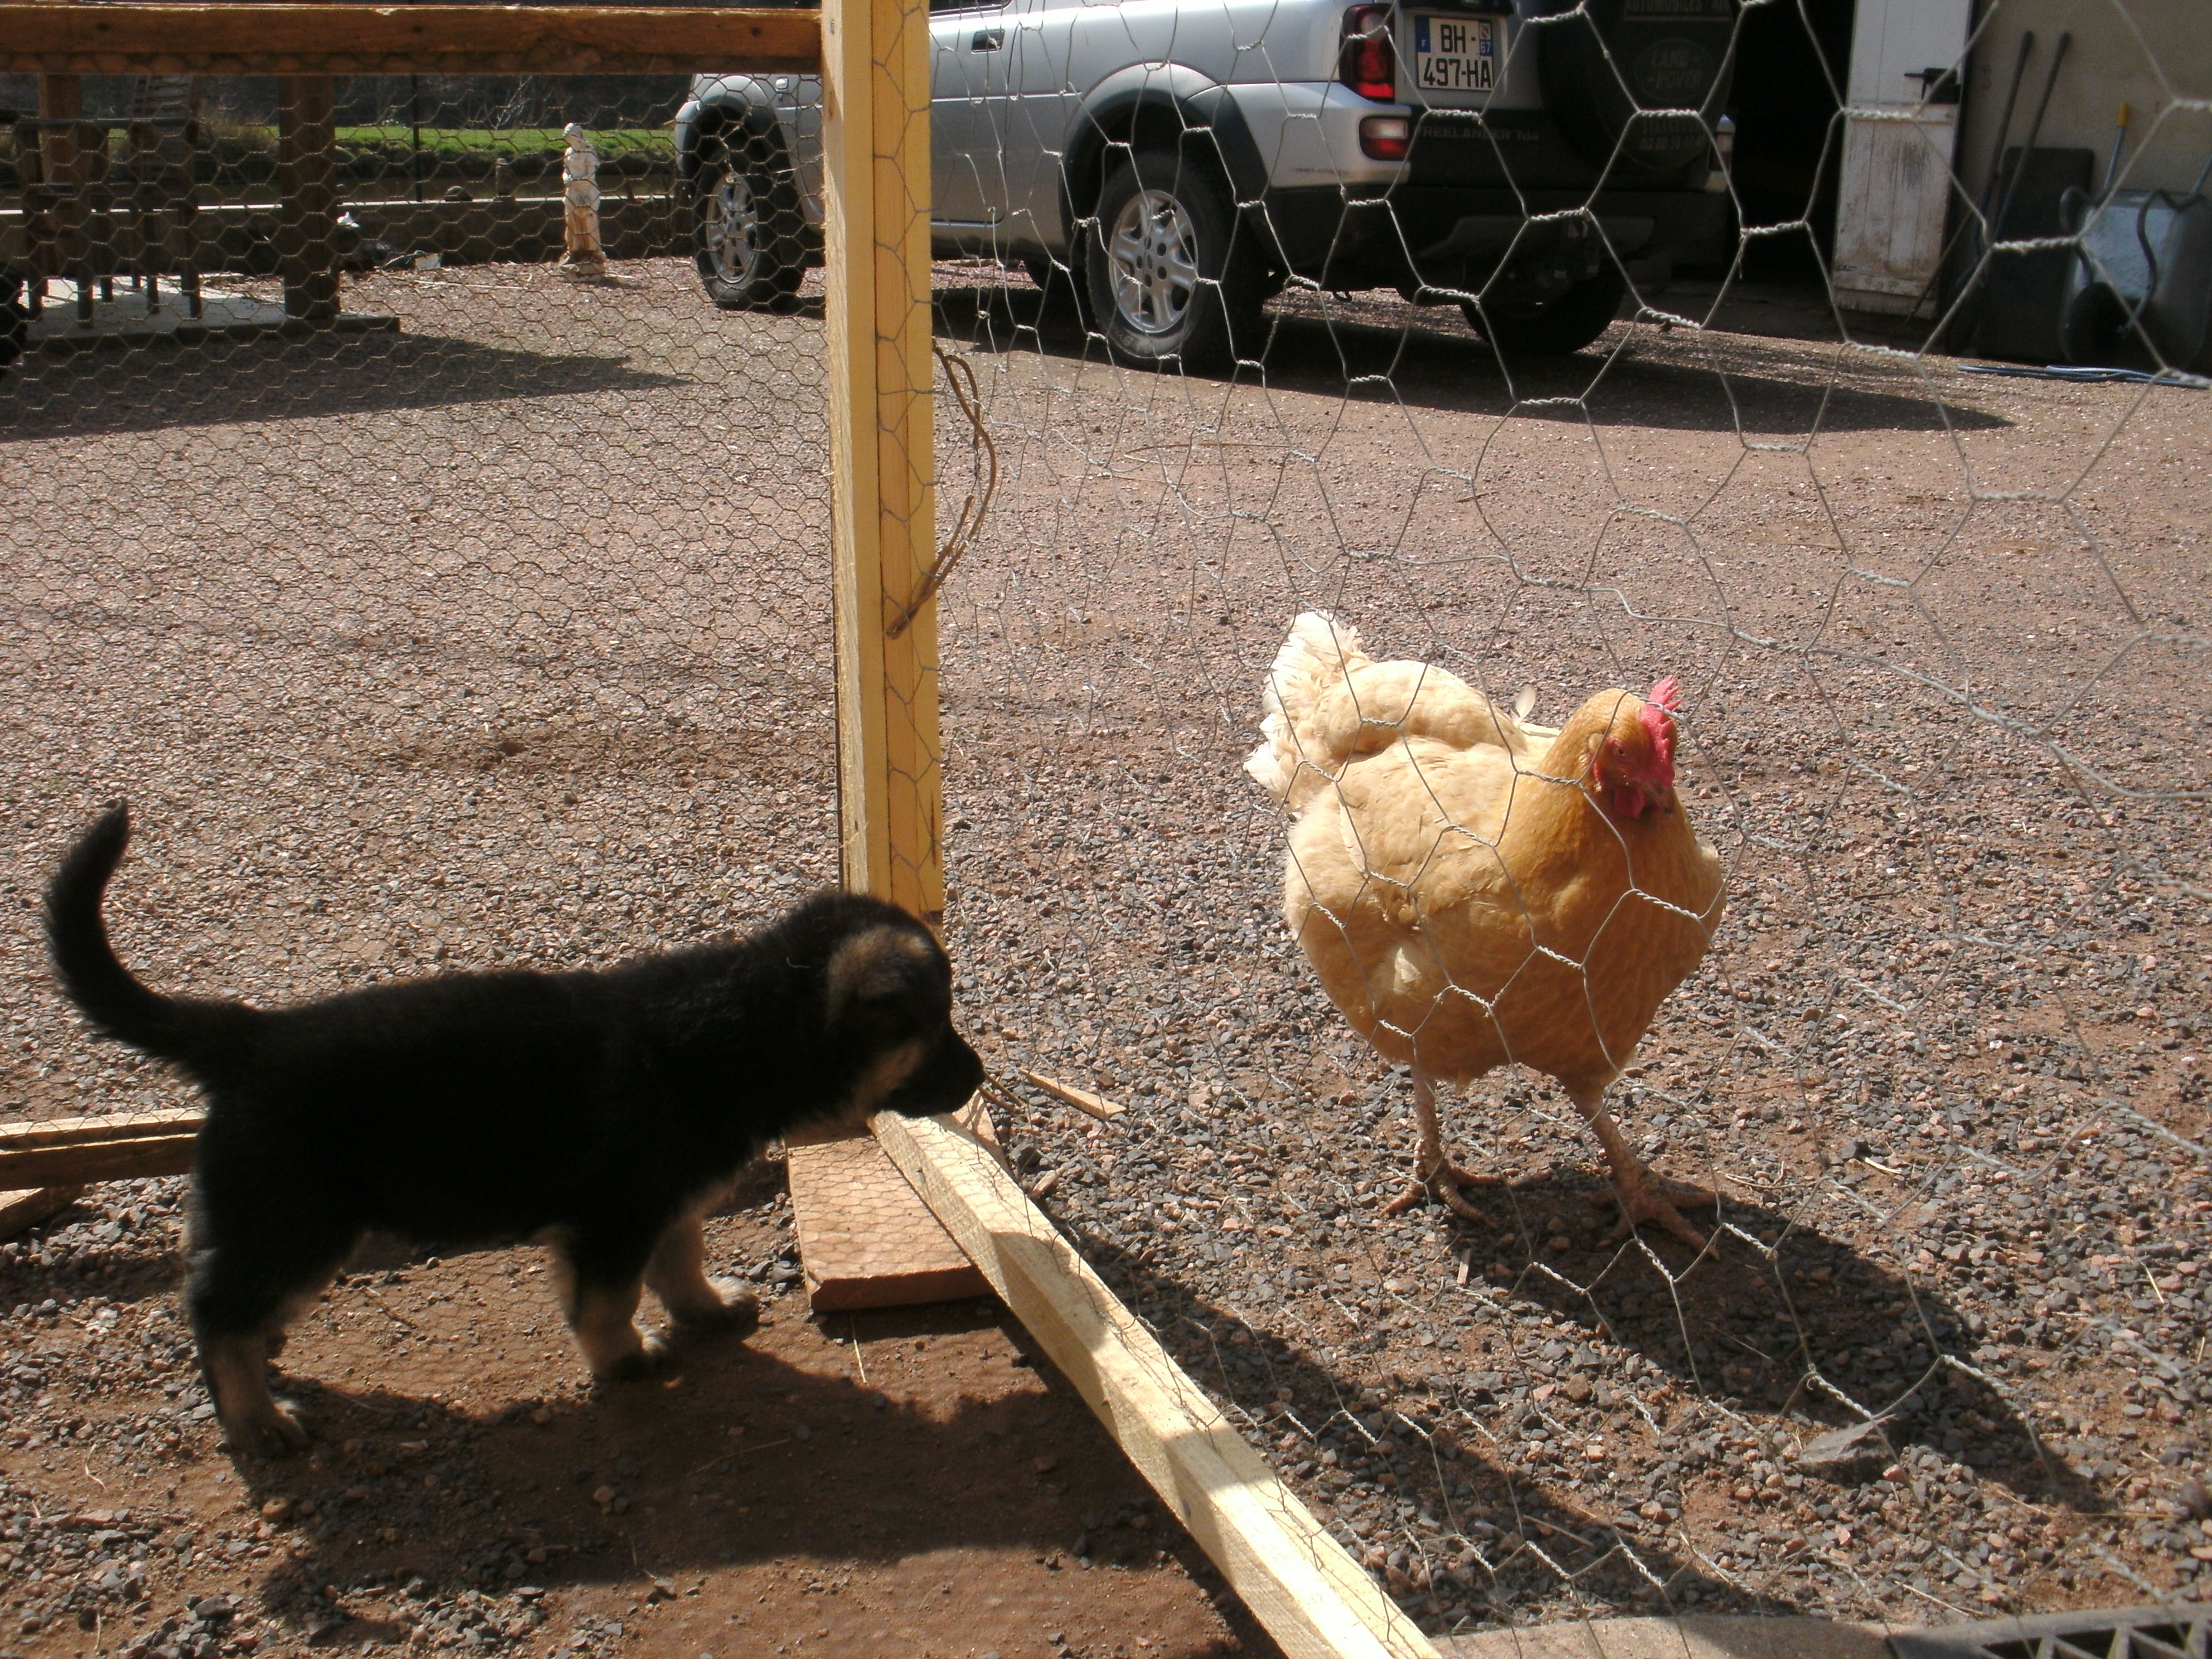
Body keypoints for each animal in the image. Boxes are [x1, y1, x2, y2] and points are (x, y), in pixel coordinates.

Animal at [38, 805, 977, 1451]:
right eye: (934, 1032)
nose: (978, 1079)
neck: (751, 1025)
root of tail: (247, 1036)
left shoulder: (667, 1202)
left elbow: (681, 1261)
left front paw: (707, 1309)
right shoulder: (610, 1222)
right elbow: (609, 1300)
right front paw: (625, 1358)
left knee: (222, 1288)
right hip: (301, 1219)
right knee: (212, 1309)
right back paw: (256, 1418)